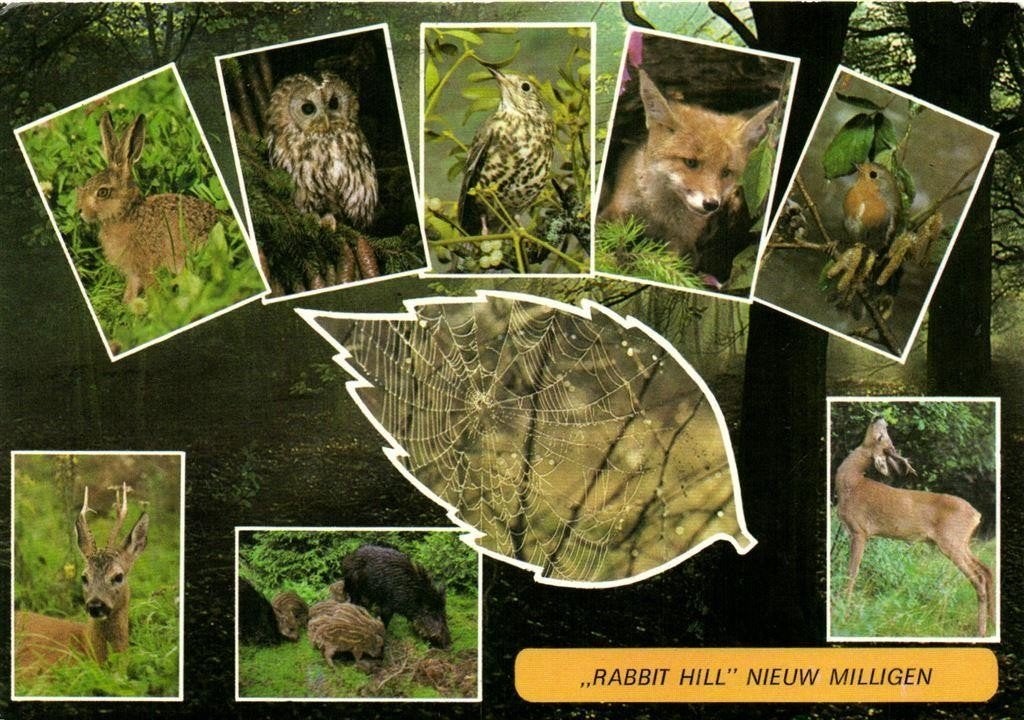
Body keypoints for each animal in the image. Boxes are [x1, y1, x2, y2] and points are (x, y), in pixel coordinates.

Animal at [76, 112, 219, 302]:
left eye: (103, 192)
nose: (80, 211)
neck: (127, 214)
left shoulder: (146, 266)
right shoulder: (134, 272)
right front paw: (128, 305)